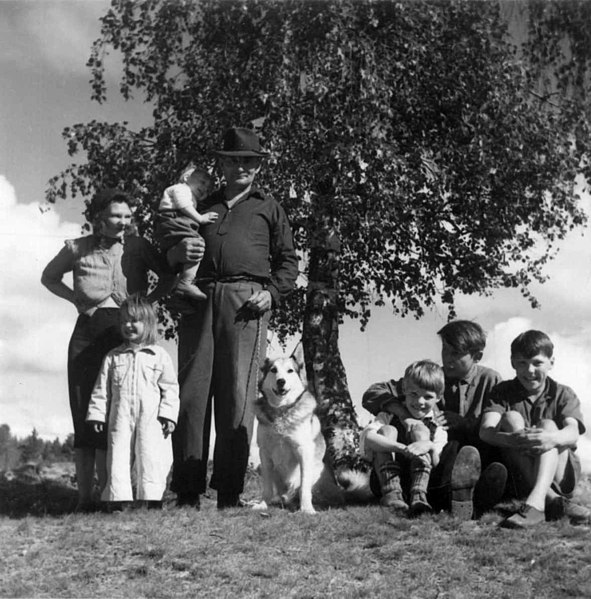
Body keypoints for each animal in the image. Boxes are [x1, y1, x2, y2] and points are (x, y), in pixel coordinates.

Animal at [256, 352, 370, 516]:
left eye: (290, 371)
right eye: (273, 370)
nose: (281, 381)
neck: (281, 411)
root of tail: (342, 493)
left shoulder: (303, 450)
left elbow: (304, 487)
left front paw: (306, 509)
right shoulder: (264, 452)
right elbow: (266, 487)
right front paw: (263, 504)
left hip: (318, 474)